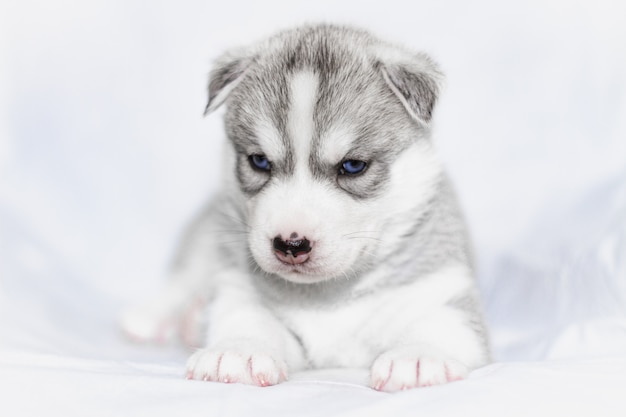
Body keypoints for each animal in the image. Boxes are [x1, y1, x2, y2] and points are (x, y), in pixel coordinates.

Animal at [122, 24, 490, 392]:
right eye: (259, 161)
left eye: (352, 166)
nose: (291, 244)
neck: (326, 295)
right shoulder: (238, 290)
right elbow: (247, 317)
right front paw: (239, 349)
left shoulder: (442, 293)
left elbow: (440, 326)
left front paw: (419, 356)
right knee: (184, 277)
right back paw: (152, 317)